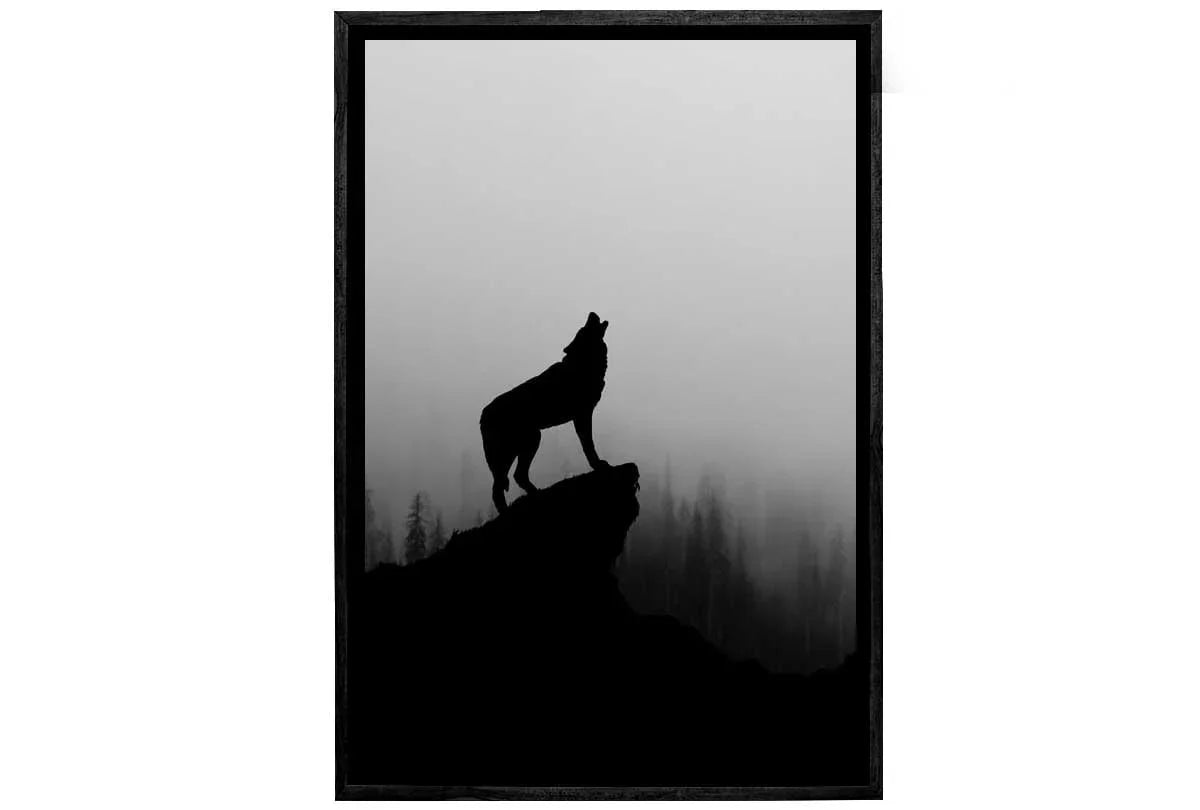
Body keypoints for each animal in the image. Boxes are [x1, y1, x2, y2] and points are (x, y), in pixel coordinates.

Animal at [481, 312, 611, 512]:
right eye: (583, 329)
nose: (591, 313)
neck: (581, 364)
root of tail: (482, 415)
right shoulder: (582, 415)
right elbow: (588, 445)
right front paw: (598, 465)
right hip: (520, 446)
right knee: (500, 486)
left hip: (526, 443)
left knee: (514, 478)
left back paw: (535, 494)